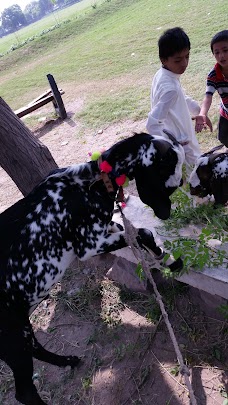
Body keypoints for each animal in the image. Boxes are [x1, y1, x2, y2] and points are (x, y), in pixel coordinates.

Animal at [0, 131, 184, 402]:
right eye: (171, 181)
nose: (165, 214)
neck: (87, 182)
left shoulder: (107, 228)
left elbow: (133, 233)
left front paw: (165, 260)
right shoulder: (88, 244)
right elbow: (143, 232)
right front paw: (166, 259)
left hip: (20, 329)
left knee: (36, 348)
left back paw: (68, 360)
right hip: (13, 340)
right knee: (24, 392)